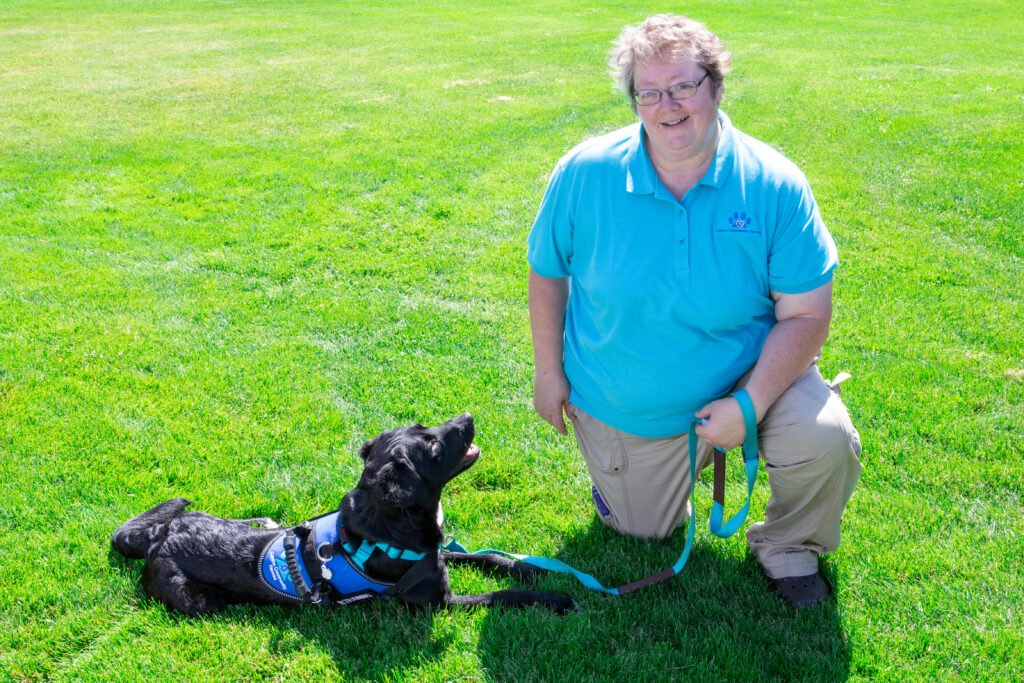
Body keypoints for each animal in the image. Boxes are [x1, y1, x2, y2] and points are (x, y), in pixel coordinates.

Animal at [114, 413, 577, 618]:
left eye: (424, 425)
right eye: (431, 446)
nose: (468, 416)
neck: (394, 520)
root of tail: (158, 537)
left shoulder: (435, 555)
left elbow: (486, 558)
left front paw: (530, 568)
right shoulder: (438, 601)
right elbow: (502, 596)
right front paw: (554, 598)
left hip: (243, 521)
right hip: (199, 603)